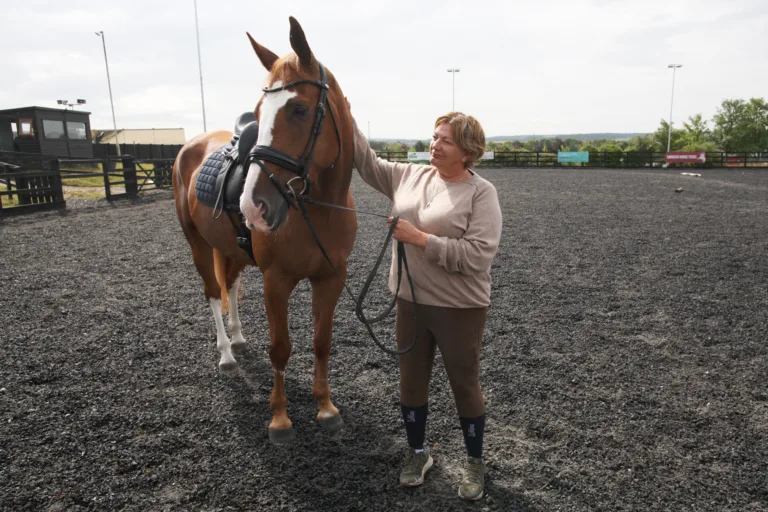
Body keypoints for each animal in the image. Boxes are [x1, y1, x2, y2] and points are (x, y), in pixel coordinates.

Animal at [173, 17, 356, 443]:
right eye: (259, 111)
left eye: (300, 109)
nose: (251, 207)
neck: (317, 211)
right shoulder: (277, 279)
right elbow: (280, 348)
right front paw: (280, 419)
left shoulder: (331, 277)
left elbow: (322, 341)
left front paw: (326, 408)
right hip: (197, 244)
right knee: (213, 292)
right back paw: (226, 353)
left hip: (231, 249)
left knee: (231, 284)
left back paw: (238, 337)